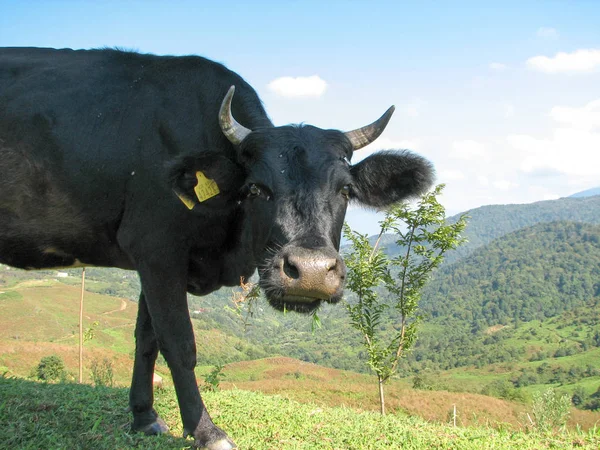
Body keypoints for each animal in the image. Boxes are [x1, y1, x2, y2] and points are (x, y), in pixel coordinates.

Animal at [0, 47, 432, 448]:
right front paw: (206, 430)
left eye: (344, 190)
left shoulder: (154, 260)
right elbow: (178, 342)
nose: (309, 273)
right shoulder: (156, 248)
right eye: (256, 188)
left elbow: (146, 339)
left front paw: (144, 416)